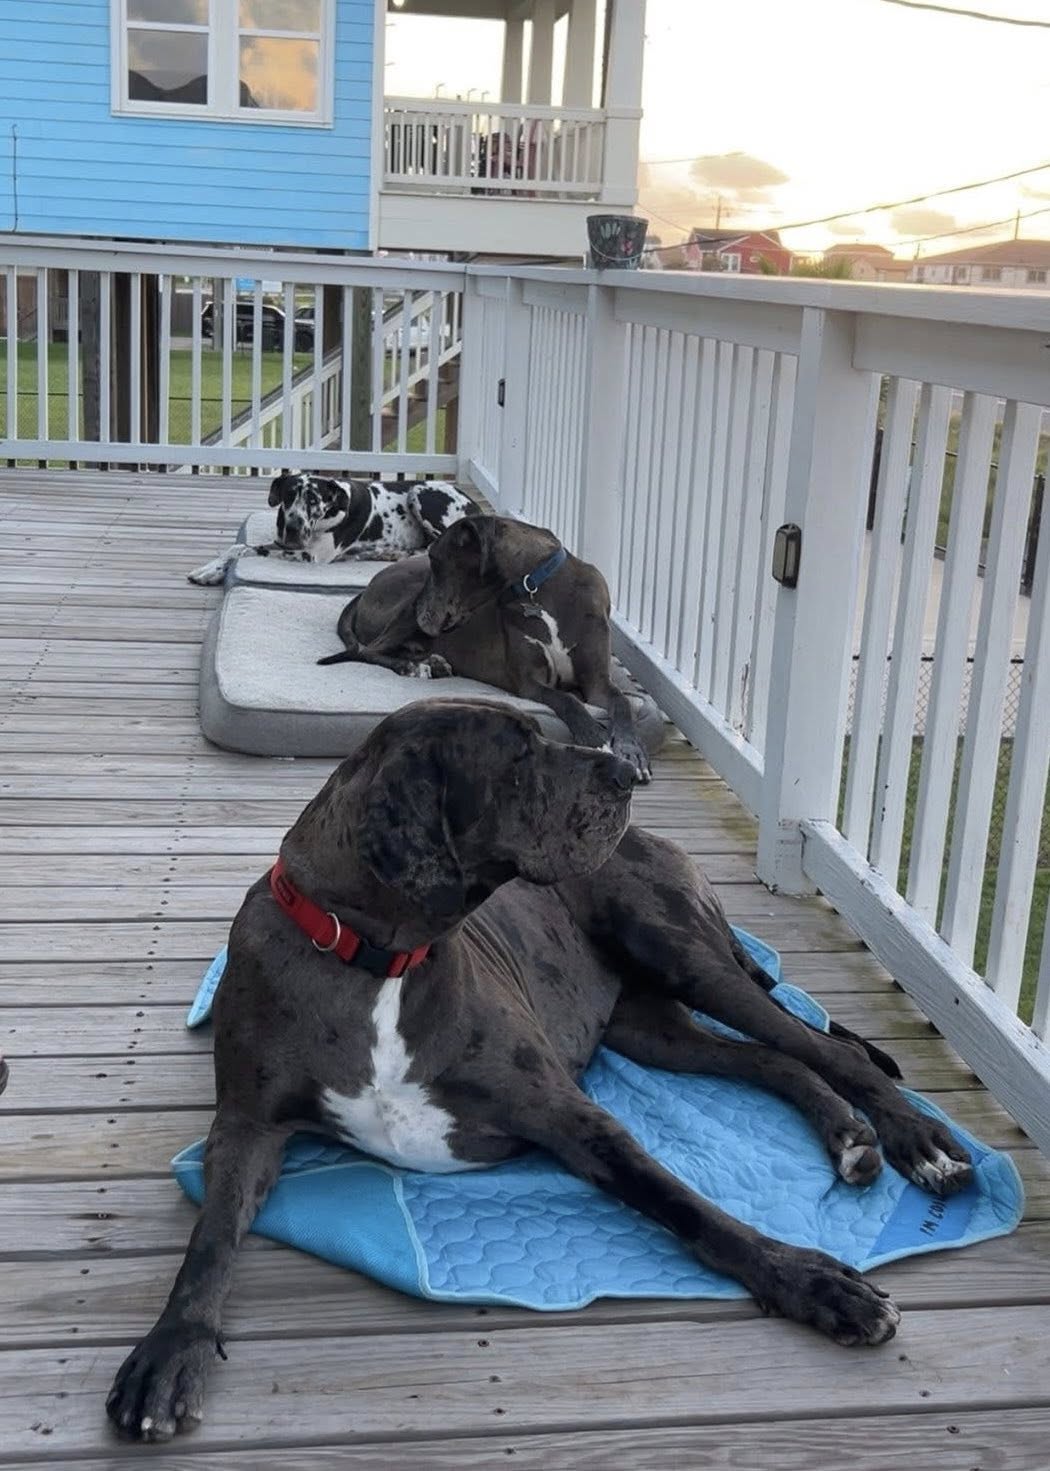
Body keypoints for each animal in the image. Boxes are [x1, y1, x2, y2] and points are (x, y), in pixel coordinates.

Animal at [106, 699, 972, 1442]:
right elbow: (210, 1236)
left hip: (681, 952)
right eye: (518, 754)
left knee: (825, 1046)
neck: (370, 958)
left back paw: (918, 1139)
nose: (625, 773)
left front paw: (813, 1283)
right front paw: (172, 1347)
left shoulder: (568, 1113)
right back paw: (849, 1134)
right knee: (773, 1058)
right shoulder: (248, 1125)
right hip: (652, 1027)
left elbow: (688, 1205)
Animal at [187, 473, 480, 585]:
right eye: (289, 495)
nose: (293, 527)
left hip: (419, 492)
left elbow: (248, 550)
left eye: (313, 500)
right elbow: (238, 546)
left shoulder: (309, 555)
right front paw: (209, 570)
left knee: (435, 548)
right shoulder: (284, 543)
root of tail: (474, 503)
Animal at [317, 513, 655, 781]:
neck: (539, 587)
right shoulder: (530, 683)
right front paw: (594, 735)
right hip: (404, 608)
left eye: (436, 560)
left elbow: (622, 701)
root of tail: (366, 590)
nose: (422, 610)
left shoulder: (597, 681)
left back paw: (432, 662)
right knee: (368, 650)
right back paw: (413, 666)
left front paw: (631, 750)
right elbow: (567, 699)